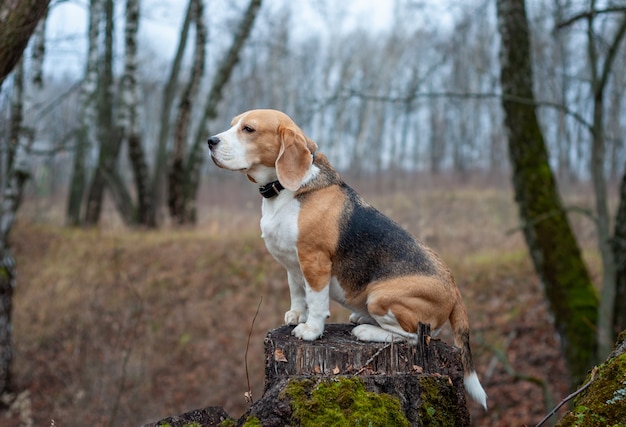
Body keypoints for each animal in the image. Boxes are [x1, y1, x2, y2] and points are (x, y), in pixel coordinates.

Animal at [207, 108, 486, 410]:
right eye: (233, 125)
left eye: (248, 129)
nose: (210, 141)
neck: (285, 190)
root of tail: (454, 289)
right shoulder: (293, 263)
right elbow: (297, 291)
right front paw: (296, 315)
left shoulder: (314, 261)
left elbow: (316, 301)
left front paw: (311, 329)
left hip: (381, 296)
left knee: (417, 337)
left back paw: (367, 331)